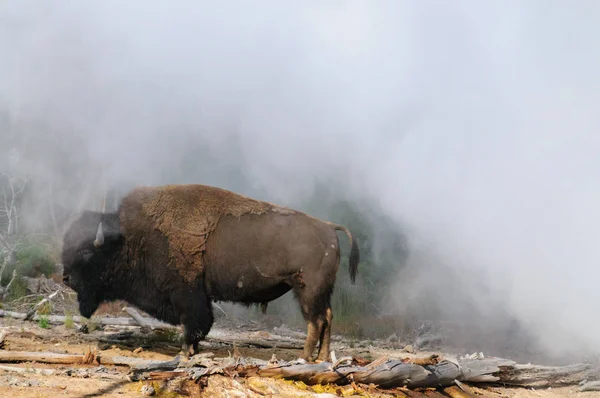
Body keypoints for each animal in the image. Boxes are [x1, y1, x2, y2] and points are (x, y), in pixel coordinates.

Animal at [59, 185, 360, 362]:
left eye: (86, 253)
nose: (66, 278)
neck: (129, 237)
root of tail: (328, 226)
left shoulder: (187, 293)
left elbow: (194, 323)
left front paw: (185, 351)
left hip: (306, 289)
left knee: (315, 321)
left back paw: (305, 358)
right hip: (320, 291)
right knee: (327, 318)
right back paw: (322, 358)